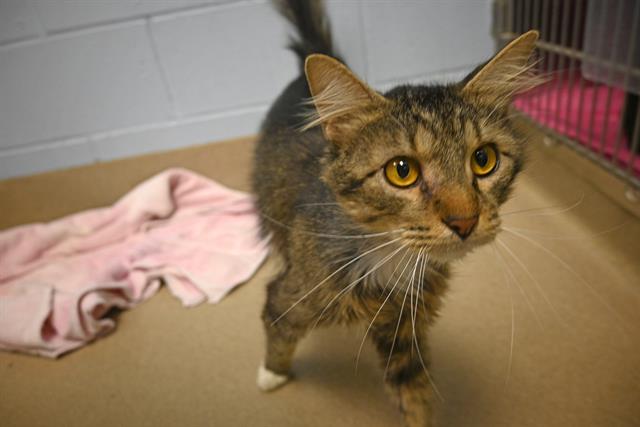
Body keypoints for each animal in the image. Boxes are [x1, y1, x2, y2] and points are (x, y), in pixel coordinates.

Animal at [251, 1, 540, 426]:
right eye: (401, 171)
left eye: (484, 160)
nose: (465, 221)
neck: (390, 260)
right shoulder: (290, 295)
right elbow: (278, 327)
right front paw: (272, 374)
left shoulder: (405, 335)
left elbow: (415, 398)